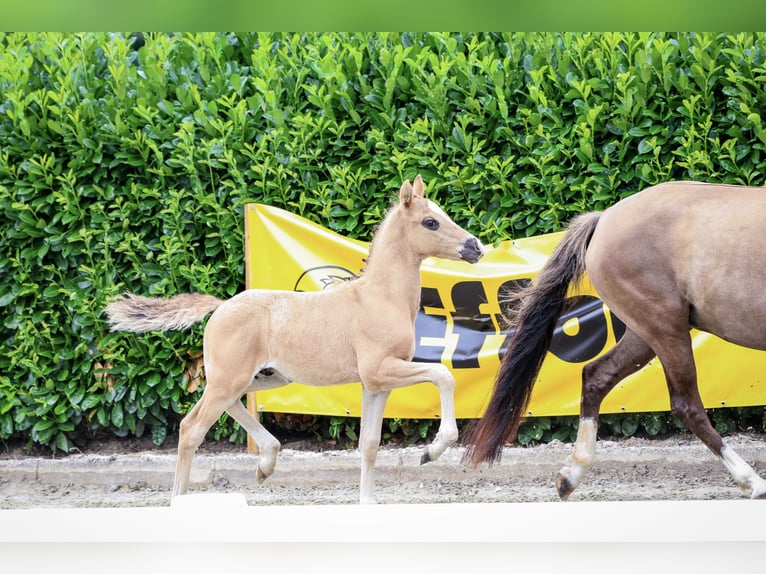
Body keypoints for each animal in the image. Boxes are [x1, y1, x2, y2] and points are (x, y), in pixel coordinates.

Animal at [106, 176, 486, 504]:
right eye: (430, 222)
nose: (476, 247)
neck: (380, 298)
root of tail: (220, 306)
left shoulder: (375, 384)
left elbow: (370, 443)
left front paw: (367, 501)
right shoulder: (380, 370)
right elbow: (443, 375)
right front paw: (431, 451)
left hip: (260, 379)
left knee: (223, 408)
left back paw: (266, 462)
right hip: (231, 379)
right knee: (191, 429)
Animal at [464, 182, 766, 502]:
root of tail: (604, 218)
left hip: (644, 333)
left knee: (596, 375)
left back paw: (570, 475)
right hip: (665, 327)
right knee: (687, 404)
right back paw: (753, 483)